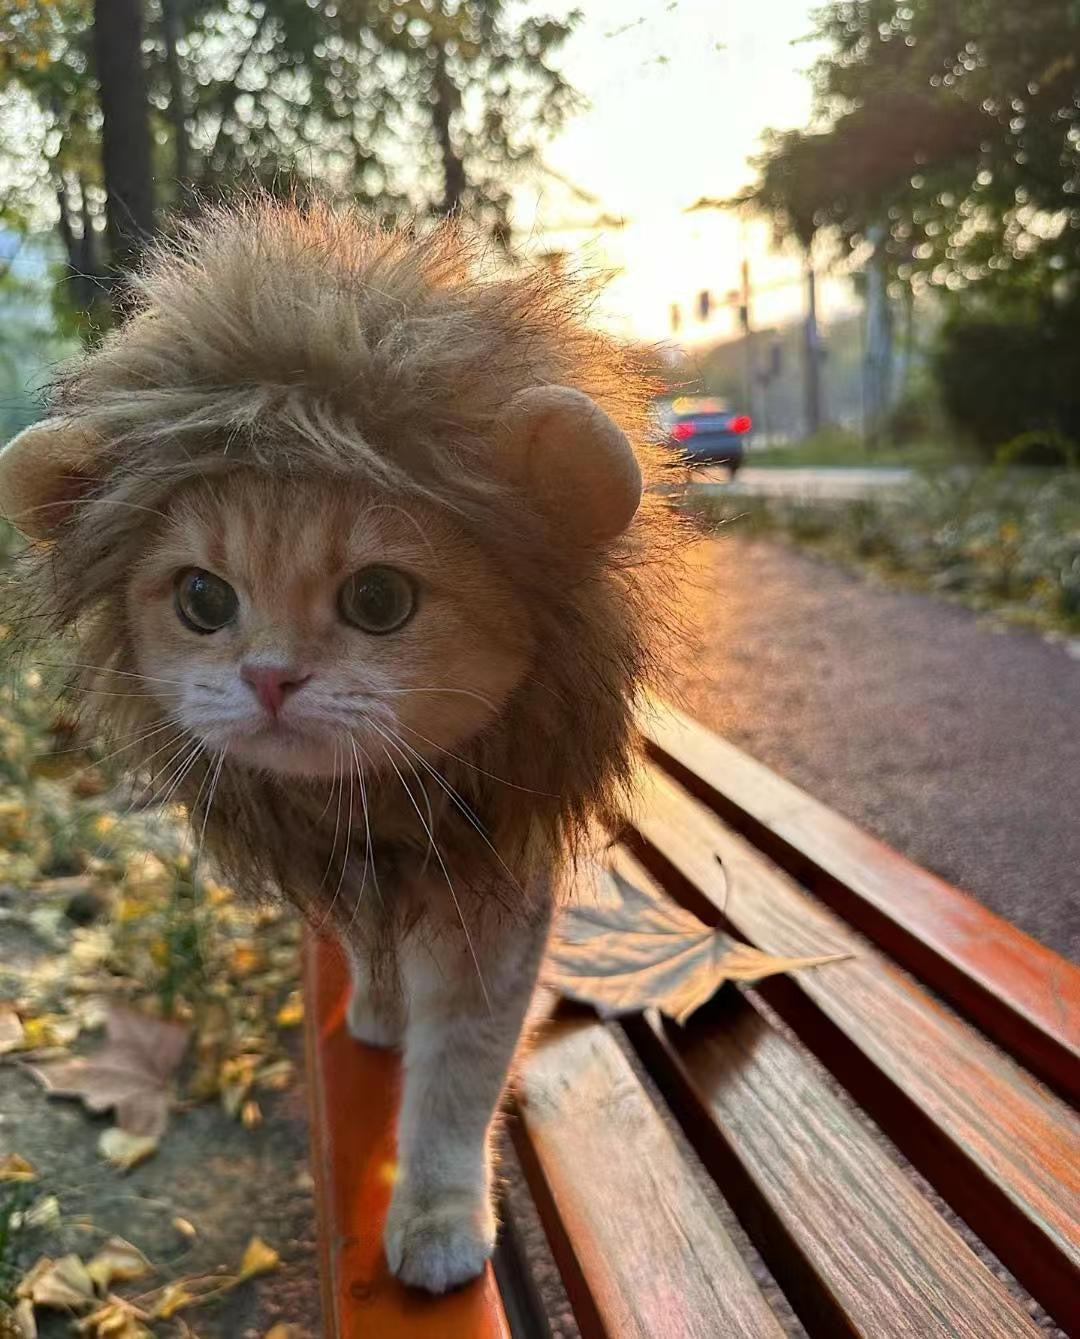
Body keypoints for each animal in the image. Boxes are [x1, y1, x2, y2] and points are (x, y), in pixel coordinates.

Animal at [0, 198, 674, 1296]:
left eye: (379, 599)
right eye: (202, 599)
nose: (270, 677)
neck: (384, 815)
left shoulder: (490, 906)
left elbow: (454, 1084)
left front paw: (436, 1216)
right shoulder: (345, 867)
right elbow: (374, 959)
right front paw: (379, 1014)